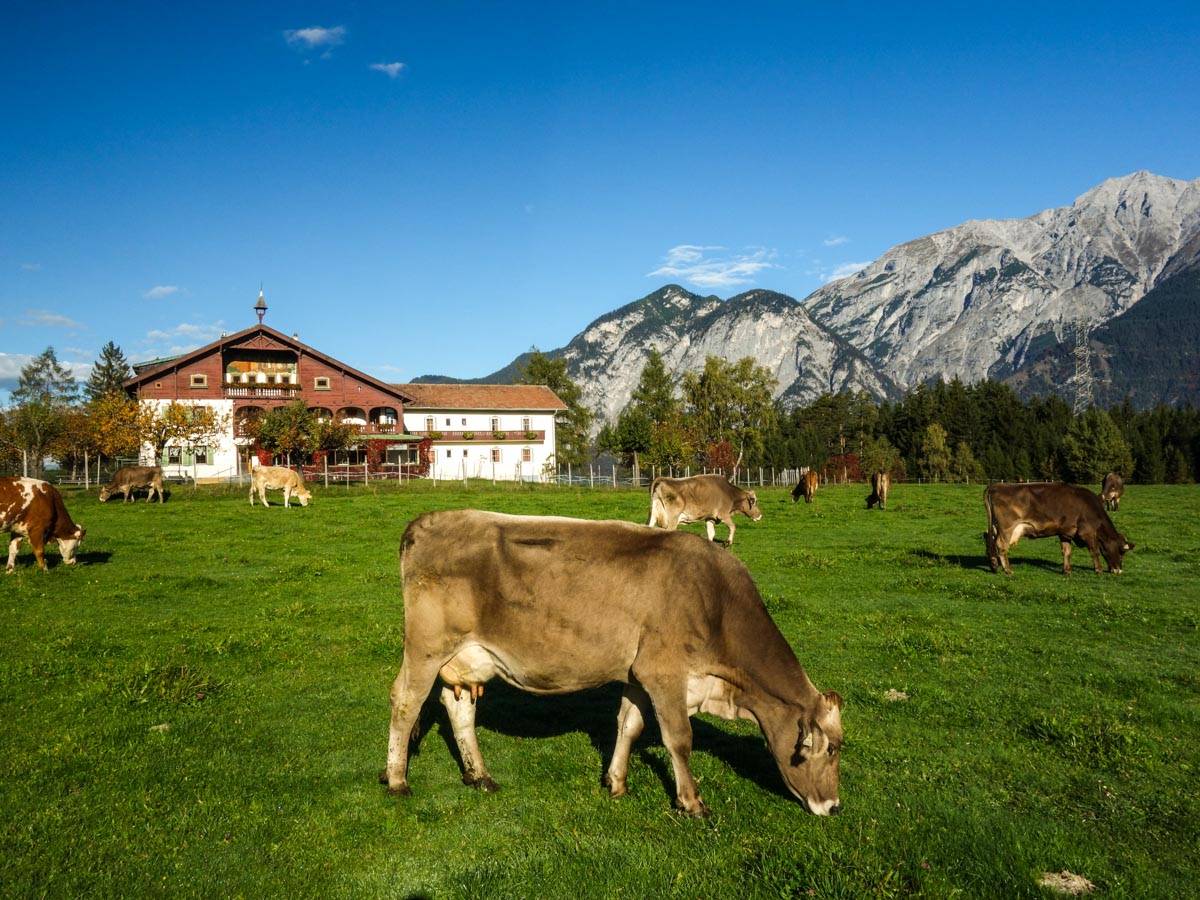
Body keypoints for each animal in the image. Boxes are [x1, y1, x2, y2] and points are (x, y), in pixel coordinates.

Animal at [384, 511, 844, 820]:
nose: (835, 807)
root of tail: (427, 520)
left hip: (464, 658)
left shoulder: (639, 675)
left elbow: (629, 726)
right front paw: (692, 802)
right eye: (831, 750)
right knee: (406, 702)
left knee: (458, 706)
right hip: (426, 648)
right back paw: (397, 780)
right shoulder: (665, 673)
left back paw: (479, 775)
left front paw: (616, 782)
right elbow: (680, 739)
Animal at [984, 482, 1132, 573]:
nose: (1119, 570)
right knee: (1001, 545)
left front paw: (1067, 570)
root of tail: (997, 485)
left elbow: (1067, 551)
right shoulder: (1087, 532)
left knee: (988, 538)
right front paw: (1099, 570)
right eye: (1122, 551)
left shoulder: (1065, 532)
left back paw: (994, 564)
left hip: (996, 527)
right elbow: (1094, 550)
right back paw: (1008, 570)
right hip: (1007, 528)